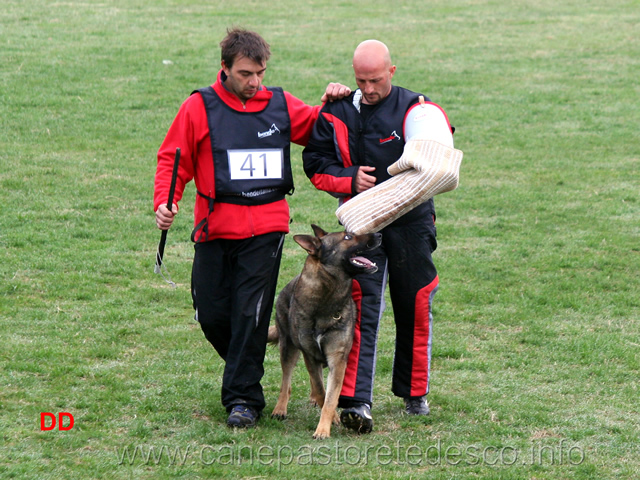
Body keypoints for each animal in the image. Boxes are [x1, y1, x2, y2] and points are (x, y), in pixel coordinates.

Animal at [268, 225, 382, 438]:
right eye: (348, 237)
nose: (379, 234)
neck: (325, 302)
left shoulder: (337, 359)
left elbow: (330, 398)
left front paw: (323, 429)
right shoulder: (310, 355)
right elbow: (322, 392)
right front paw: (331, 420)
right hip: (288, 349)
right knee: (287, 382)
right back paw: (280, 408)